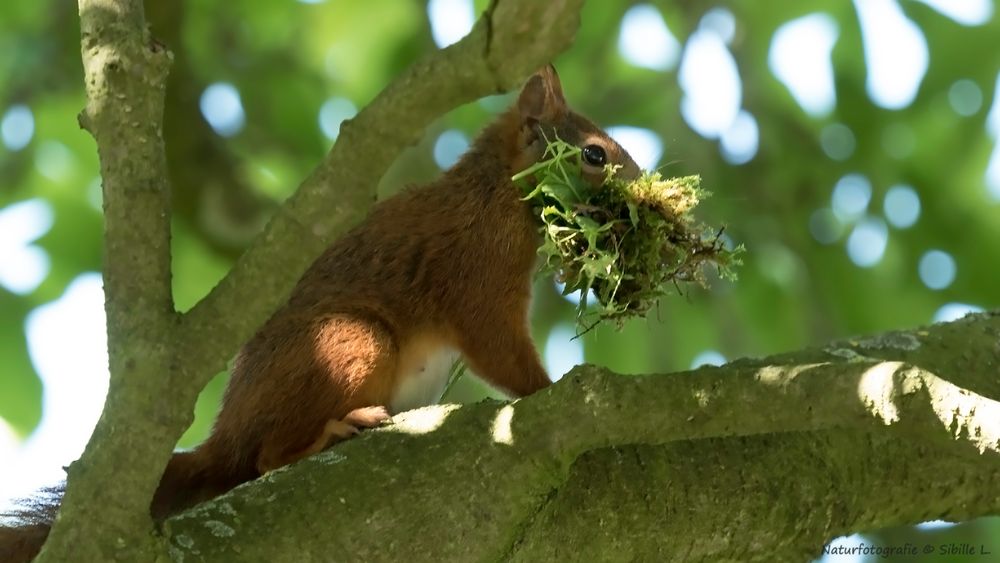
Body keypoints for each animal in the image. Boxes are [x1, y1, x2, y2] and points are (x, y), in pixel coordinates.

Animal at [0, 65, 640, 560]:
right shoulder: (478, 269)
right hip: (349, 341)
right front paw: (552, 391)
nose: (641, 199)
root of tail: (227, 433)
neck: (497, 188)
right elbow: (499, 348)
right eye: (593, 153)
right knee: (266, 458)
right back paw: (334, 430)